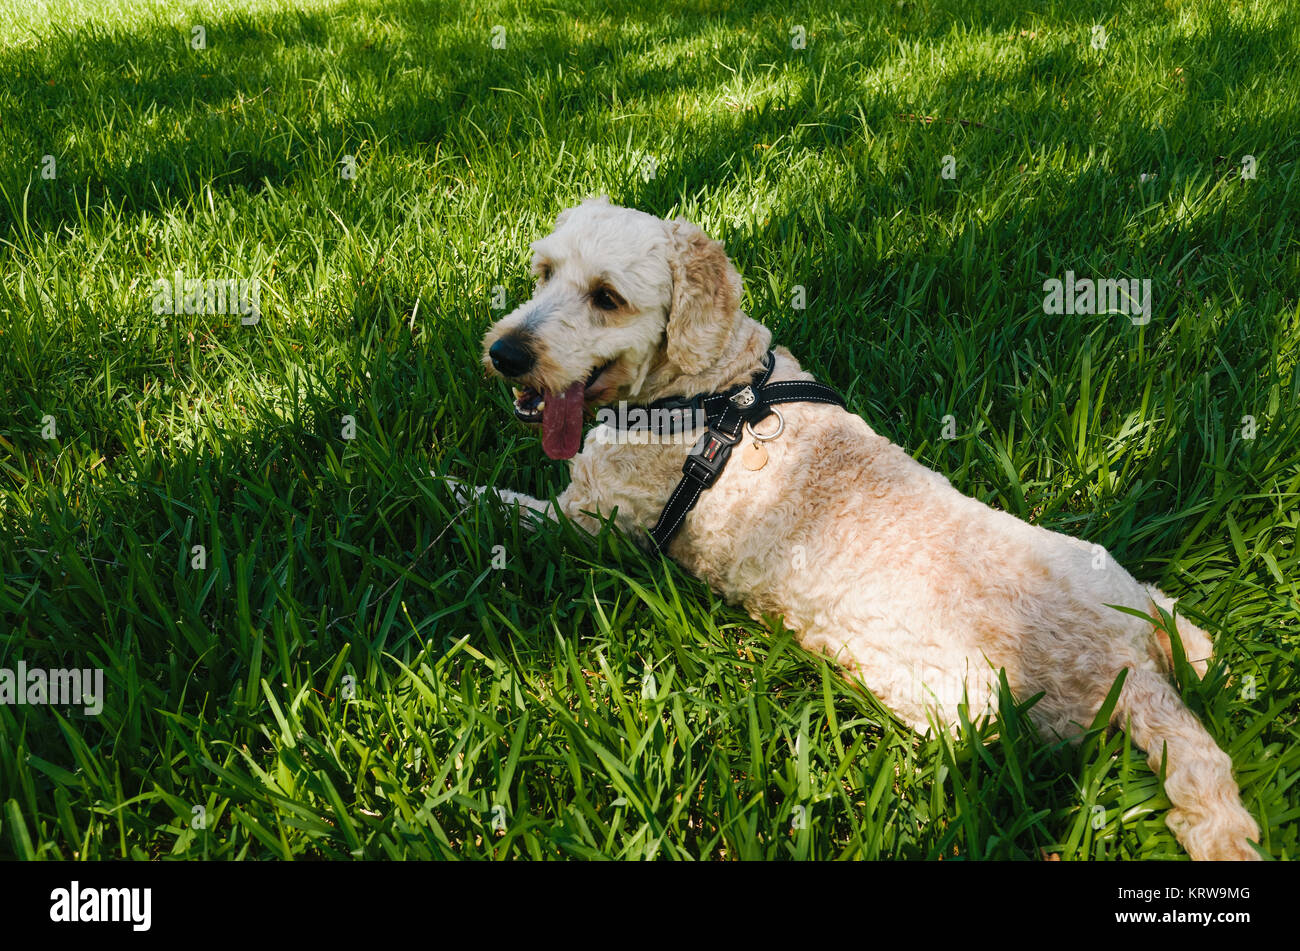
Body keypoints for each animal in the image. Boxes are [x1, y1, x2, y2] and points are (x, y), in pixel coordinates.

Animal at [473, 194, 1263, 862]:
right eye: (544, 272)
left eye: (607, 298)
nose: (505, 353)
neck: (713, 387)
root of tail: (1123, 664)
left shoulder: (588, 523)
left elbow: (484, 499)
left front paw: (451, 487)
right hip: (1112, 576)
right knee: (1185, 629)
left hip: (958, 708)